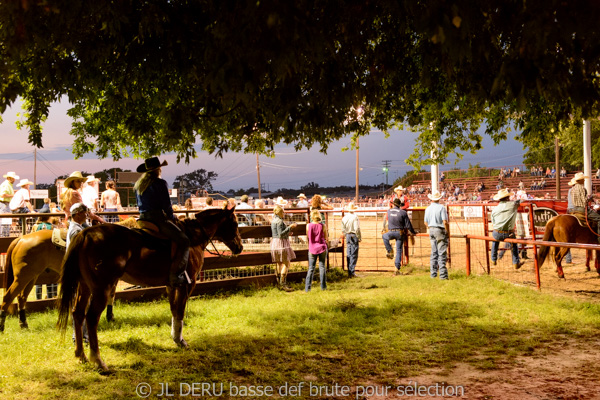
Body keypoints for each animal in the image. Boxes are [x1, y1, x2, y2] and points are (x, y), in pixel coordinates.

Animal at [56, 208, 244, 370]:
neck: (192, 237)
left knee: (78, 314)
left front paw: (175, 338)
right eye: (234, 223)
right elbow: (180, 311)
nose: (239, 247)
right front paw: (181, 341)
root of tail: (86, 234)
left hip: (85, 286)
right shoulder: (187, 284)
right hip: (102, 288)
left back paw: (81, 355)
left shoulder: (171, 285)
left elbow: (174, 310)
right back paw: (98, 360)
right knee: (91, 318)